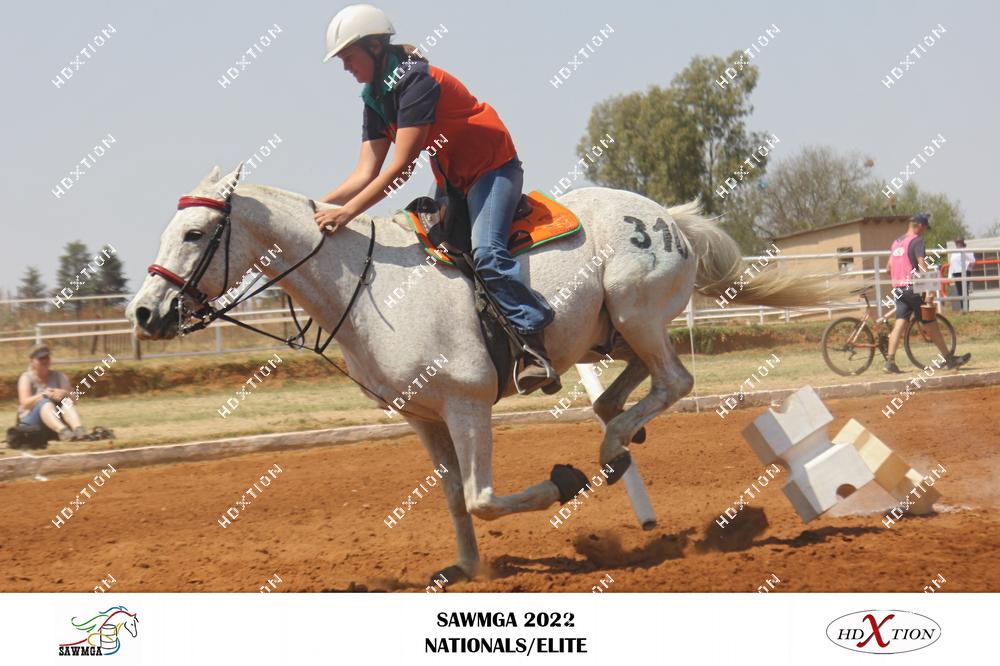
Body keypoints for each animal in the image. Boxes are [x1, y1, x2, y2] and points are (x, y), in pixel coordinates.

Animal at [125, 167, 844, 588]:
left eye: (195, 233)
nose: (145, 312)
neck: (371, 282)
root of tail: (668, 216)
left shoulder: (467, 405)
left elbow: (482, 497)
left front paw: (564, 482)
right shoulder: (423, 417)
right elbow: (452, 498)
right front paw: (467, 568)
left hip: (637, 312)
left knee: (676, 381)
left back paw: (611, 446)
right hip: (615, 328)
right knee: (638, 383)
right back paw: (616, 428)